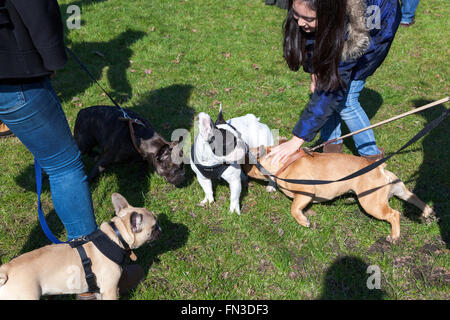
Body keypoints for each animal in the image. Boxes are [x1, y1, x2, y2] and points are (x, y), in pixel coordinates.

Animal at [0, 192, 161, 300]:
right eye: (153, 227)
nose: (160, 228)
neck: (116, 236)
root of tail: (6, 269)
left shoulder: (100, 290)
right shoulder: (110, 289)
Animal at [244, 145, 434, 242]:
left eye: (249, 161)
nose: (243, 168)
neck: (286, 162)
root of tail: (379, 168)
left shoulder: (305, 191)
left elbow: (294, 208)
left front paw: (304, 221)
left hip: (371, 203)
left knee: (394, 214)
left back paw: (394, 236)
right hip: (398, 189)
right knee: (415, 198)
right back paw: (427, 213)